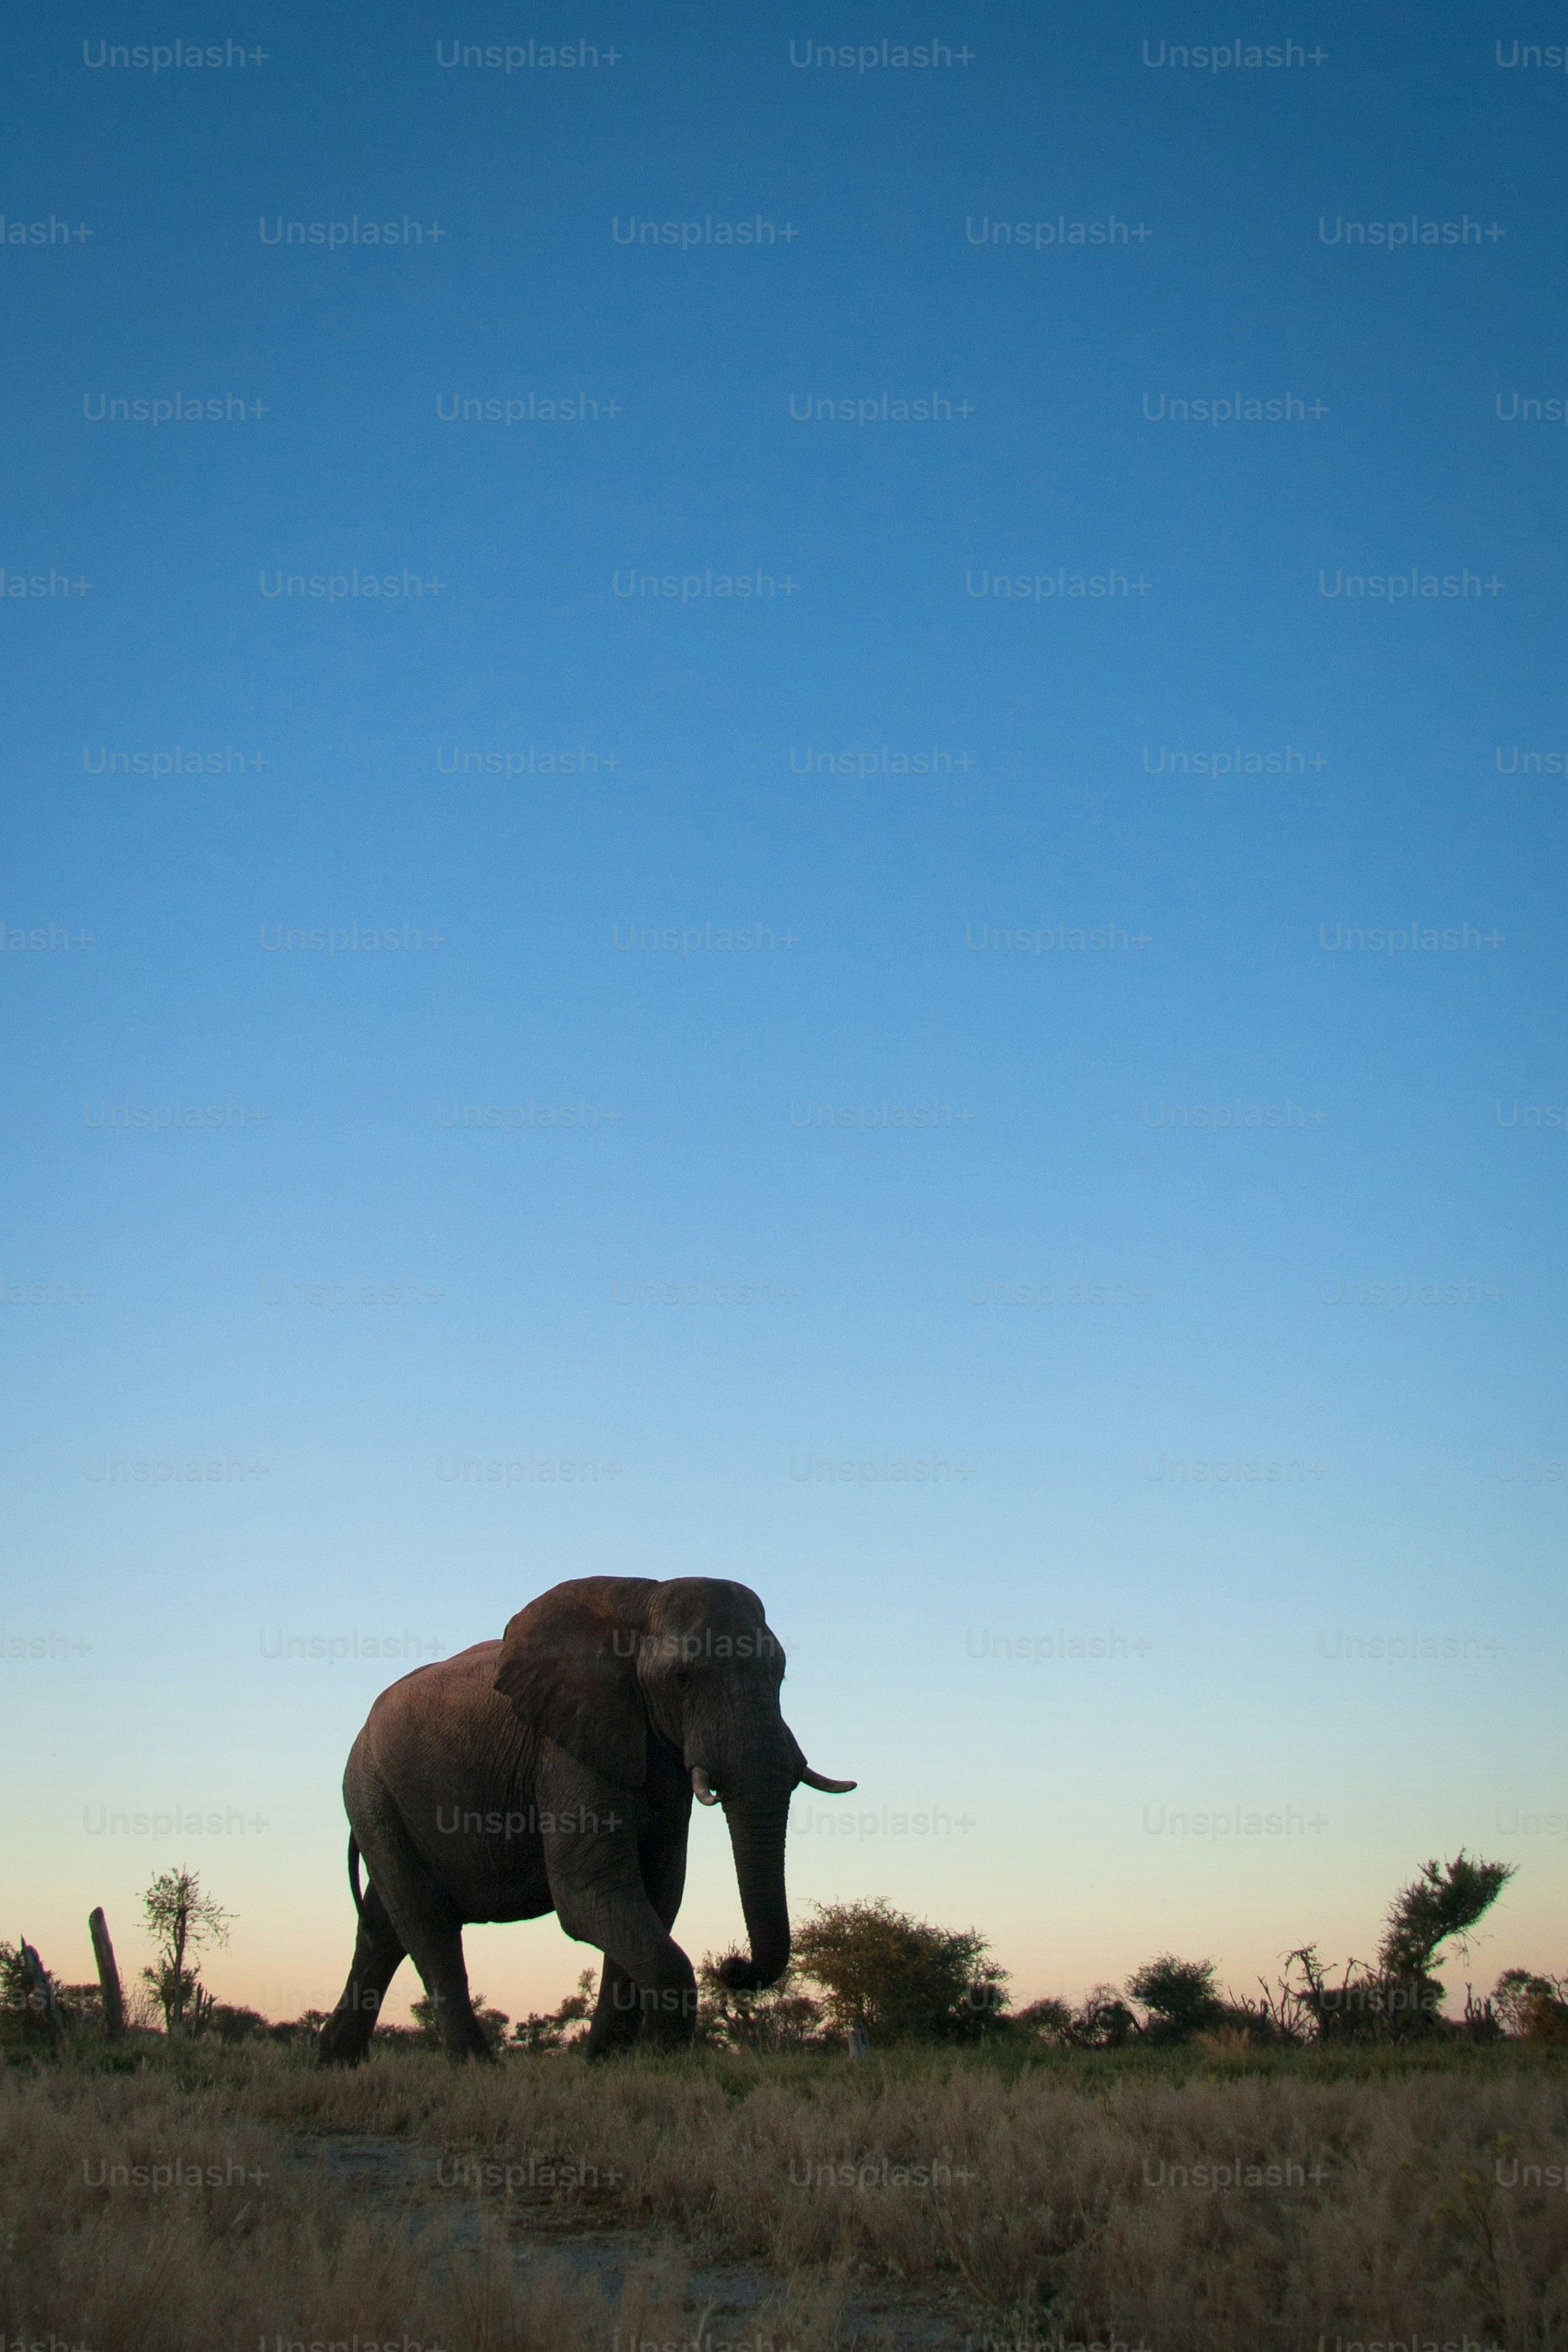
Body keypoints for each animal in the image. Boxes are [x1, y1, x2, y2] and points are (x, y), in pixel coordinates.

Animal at [316, 1575, 855, 2063]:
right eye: (682, 1680)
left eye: (780, 1676)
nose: (733, 1966)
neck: (643, 1602)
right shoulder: (567, 1746)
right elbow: (590, 1891)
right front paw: (665, 2063)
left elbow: (657, 1890)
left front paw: (609, 2066)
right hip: (370, 1790)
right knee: (426, 1924)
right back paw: (475, 2068)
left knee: (382, 1928)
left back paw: (334, 2062)